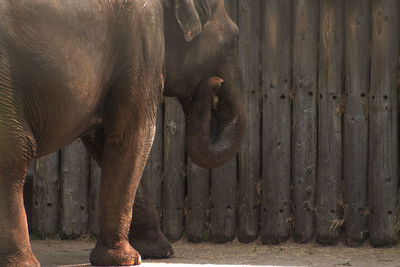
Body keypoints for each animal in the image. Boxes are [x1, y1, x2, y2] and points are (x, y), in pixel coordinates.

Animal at [0, 0, 244, 266]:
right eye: (233, 40)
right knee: (15, 155)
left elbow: (105, 142)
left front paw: (158, 252)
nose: (217, 83)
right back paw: (23, 262)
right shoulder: (142, 46)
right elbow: (133, 136)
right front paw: (127, 259)